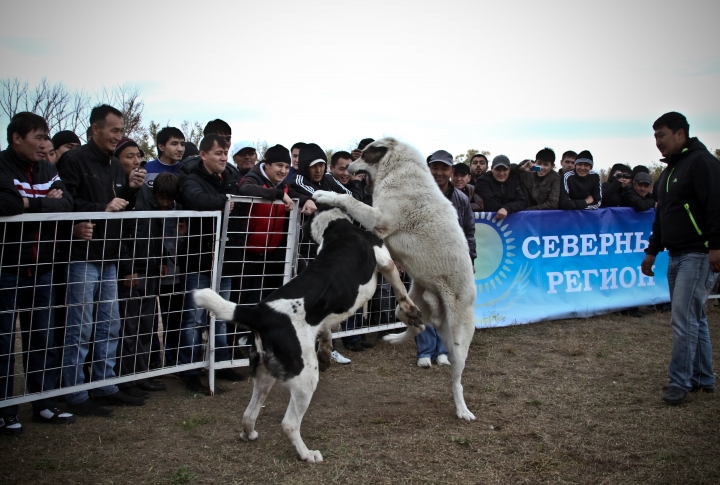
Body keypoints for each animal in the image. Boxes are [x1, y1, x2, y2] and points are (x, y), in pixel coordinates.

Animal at [194, 203, 424, 462]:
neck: (335, 227)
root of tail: (260, 312)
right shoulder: (385, 261)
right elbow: (401, 290)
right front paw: (412, 312)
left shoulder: (322, 320)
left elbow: (326, 331)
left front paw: (326, 352)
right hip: (305, 379)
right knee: (289, 424)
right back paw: (307, 454)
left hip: (265, 375)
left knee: (248, 414)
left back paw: (249, 434)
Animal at [314, 136, 478, 420]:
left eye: (365, 154)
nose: (347, 168)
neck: (397, 169)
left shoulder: (379, 217)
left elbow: (350, 200)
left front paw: (325, 195)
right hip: (406, 305)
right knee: (417, 326)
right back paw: (392, 338)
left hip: (458, 340)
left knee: (456, 380)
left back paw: (462, 410)